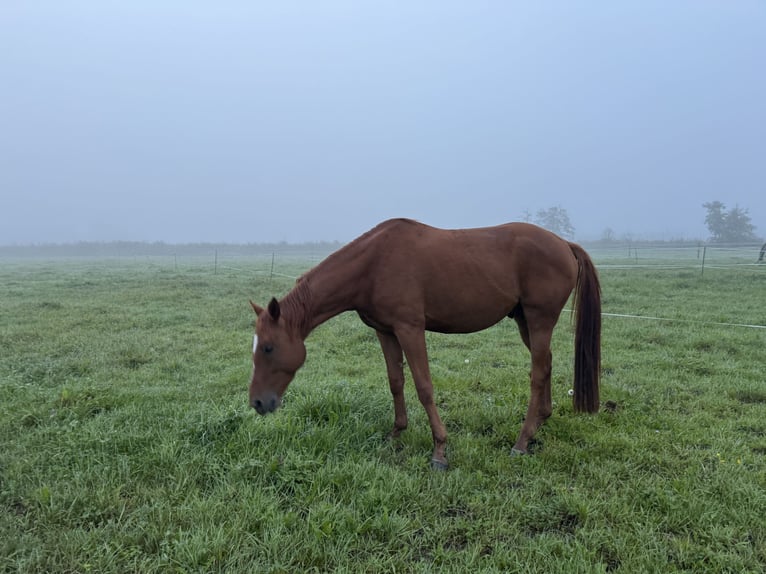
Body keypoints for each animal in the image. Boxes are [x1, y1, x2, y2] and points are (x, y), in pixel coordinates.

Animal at [249, 218, 601, 470]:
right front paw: (395, 434)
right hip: (525, 321)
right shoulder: (386, 331)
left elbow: (424, 387)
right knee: (547, 364)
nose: (258, 403)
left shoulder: (410, 329)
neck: (373, 265)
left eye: (268, 347)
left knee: (537, 374)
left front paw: (440, 451)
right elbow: (396, 381)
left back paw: (521, 441)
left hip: (540, 319)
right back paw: (541, 421)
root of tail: (564, 244)